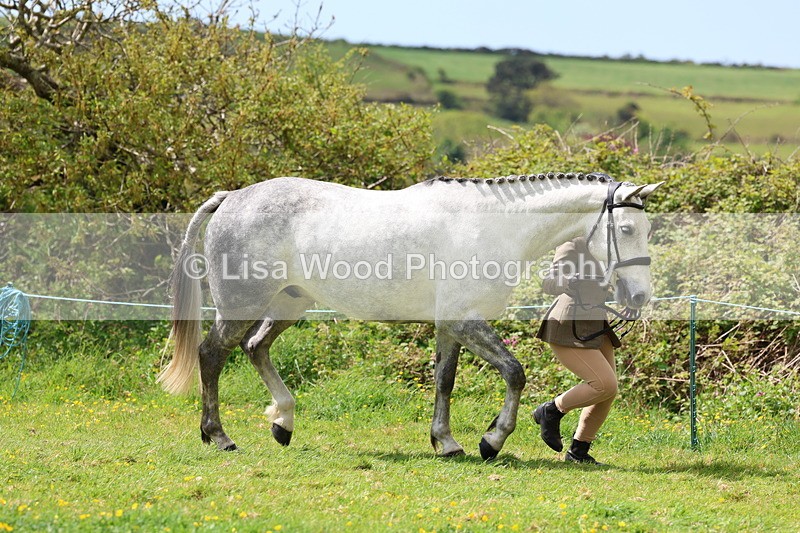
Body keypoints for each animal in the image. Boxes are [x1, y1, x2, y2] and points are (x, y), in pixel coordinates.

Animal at [159, 172, 662, 459]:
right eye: (625, 228)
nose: (639, 296)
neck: (493, 226)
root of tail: (232, 198)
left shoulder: (449, 326)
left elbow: (444, 381)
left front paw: (447, 443)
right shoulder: (463, 320)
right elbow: (514, 372)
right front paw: (491, 441)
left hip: (290, 301)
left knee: (255, 346)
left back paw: (282, 423)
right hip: (242, 304)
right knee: (212, 354)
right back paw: (220, 437)